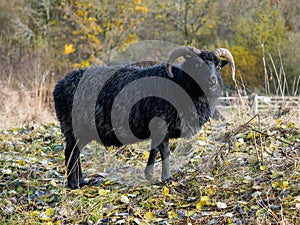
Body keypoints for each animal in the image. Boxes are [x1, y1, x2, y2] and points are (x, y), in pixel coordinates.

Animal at [53, 45, 234, 188]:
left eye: (218, 66)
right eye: (197, 64)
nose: (212, 81)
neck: (182, 84)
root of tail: (59, 86)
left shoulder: (157, 128)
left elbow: (154, 150)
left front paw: (149, 175)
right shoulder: (161, 123)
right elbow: (165, 151)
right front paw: (167, 179)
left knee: (76, 153)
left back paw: (82, 181)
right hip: (74, 127)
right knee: (70, 153)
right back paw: (74, 185)